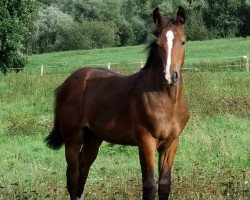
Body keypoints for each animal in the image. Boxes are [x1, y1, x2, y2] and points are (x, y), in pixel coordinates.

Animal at [45, 6, 189, 200]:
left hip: (93, 138)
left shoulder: (171, 143)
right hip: (73, 138)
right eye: (158, 44)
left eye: (183, 42)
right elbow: (149, 185)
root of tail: (65, 84)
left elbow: (165, 184)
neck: (167, 103)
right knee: (73, 177)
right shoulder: (146, 142)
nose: (170, 76)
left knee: (83, 171)